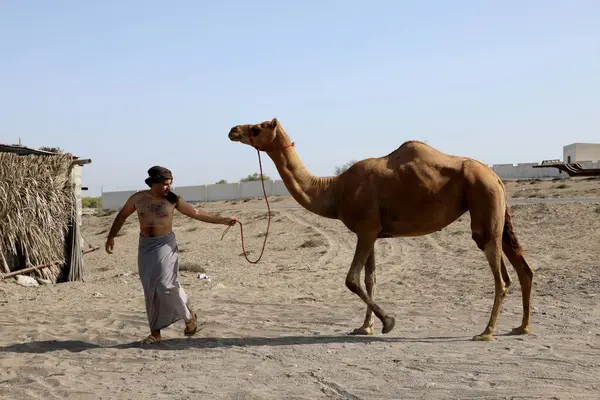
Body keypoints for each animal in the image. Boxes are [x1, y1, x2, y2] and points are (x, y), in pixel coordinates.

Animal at [226, 119, 536, 340]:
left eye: (257, 127)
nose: (232, 130)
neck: (334, 190)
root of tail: (495, 176)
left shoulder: (364, 229)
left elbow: (352, 279)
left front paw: (388, 322)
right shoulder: (373, 232)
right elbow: (370, 278)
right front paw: (365, 327)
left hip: (483, 204)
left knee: (502, 276)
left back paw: (486, 332)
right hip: (497, 215)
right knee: (523, 269)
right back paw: (521, 327)